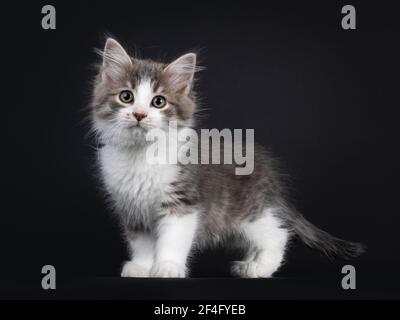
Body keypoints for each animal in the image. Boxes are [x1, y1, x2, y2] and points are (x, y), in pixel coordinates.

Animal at [90, 37, 366, 278]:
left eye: (159, 102)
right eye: (126, 96)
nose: (139, 114)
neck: (141, 154)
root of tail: (270, 178)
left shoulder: (182, 202)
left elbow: (173, 239)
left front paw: (168, 267)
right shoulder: (132, 208)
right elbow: (141, 242)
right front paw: (142, 267)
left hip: (247, 214)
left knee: (278, 234)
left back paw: (259, 268)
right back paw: (249, 263)